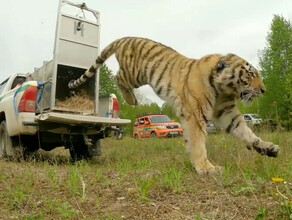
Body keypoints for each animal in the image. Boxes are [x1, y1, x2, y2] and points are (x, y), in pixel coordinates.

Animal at [67, 36, 280, 174]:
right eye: (250, 75)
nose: (264, 90)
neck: (223, 88)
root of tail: (125, 38)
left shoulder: (228, 114)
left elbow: (248, 134)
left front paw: (268, 148)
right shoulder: (195, 115)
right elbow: (198, 143)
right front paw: (206, 168)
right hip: (134, 73)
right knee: (118, 78)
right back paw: (132, 100)